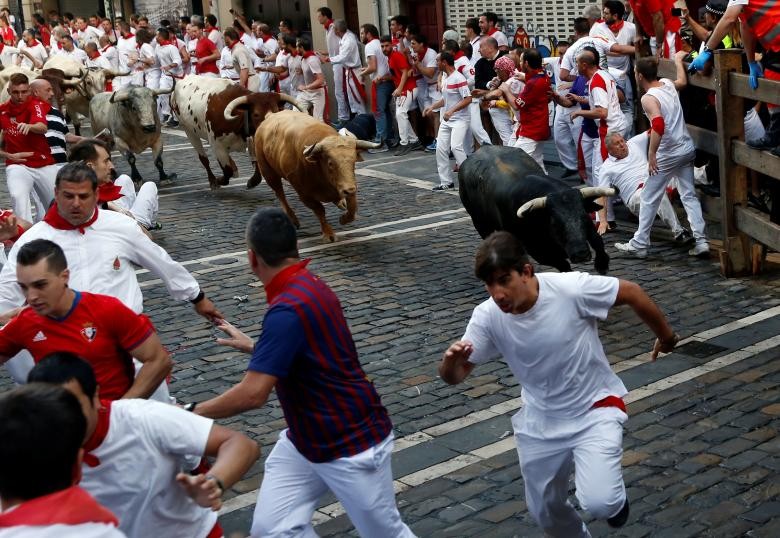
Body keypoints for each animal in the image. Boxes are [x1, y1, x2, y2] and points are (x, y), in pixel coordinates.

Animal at [254, 110, 380, 240]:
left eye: (353, 161)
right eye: (330, 163)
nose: (349, 190)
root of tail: (270, 116)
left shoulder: (349, 185)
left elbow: (352, 209)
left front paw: (343, 218)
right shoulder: (304, 195)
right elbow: (319, 210)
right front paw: (329, 234)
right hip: (268, 172)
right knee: (280, 193)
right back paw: (293, 219)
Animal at [458, 144, 616, 274]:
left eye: (584, 216)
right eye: (554, 223)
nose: (581, 253)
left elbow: (597, 241)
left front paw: (602, 264)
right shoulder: (538, 251)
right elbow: (564, 266)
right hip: (481, 225)